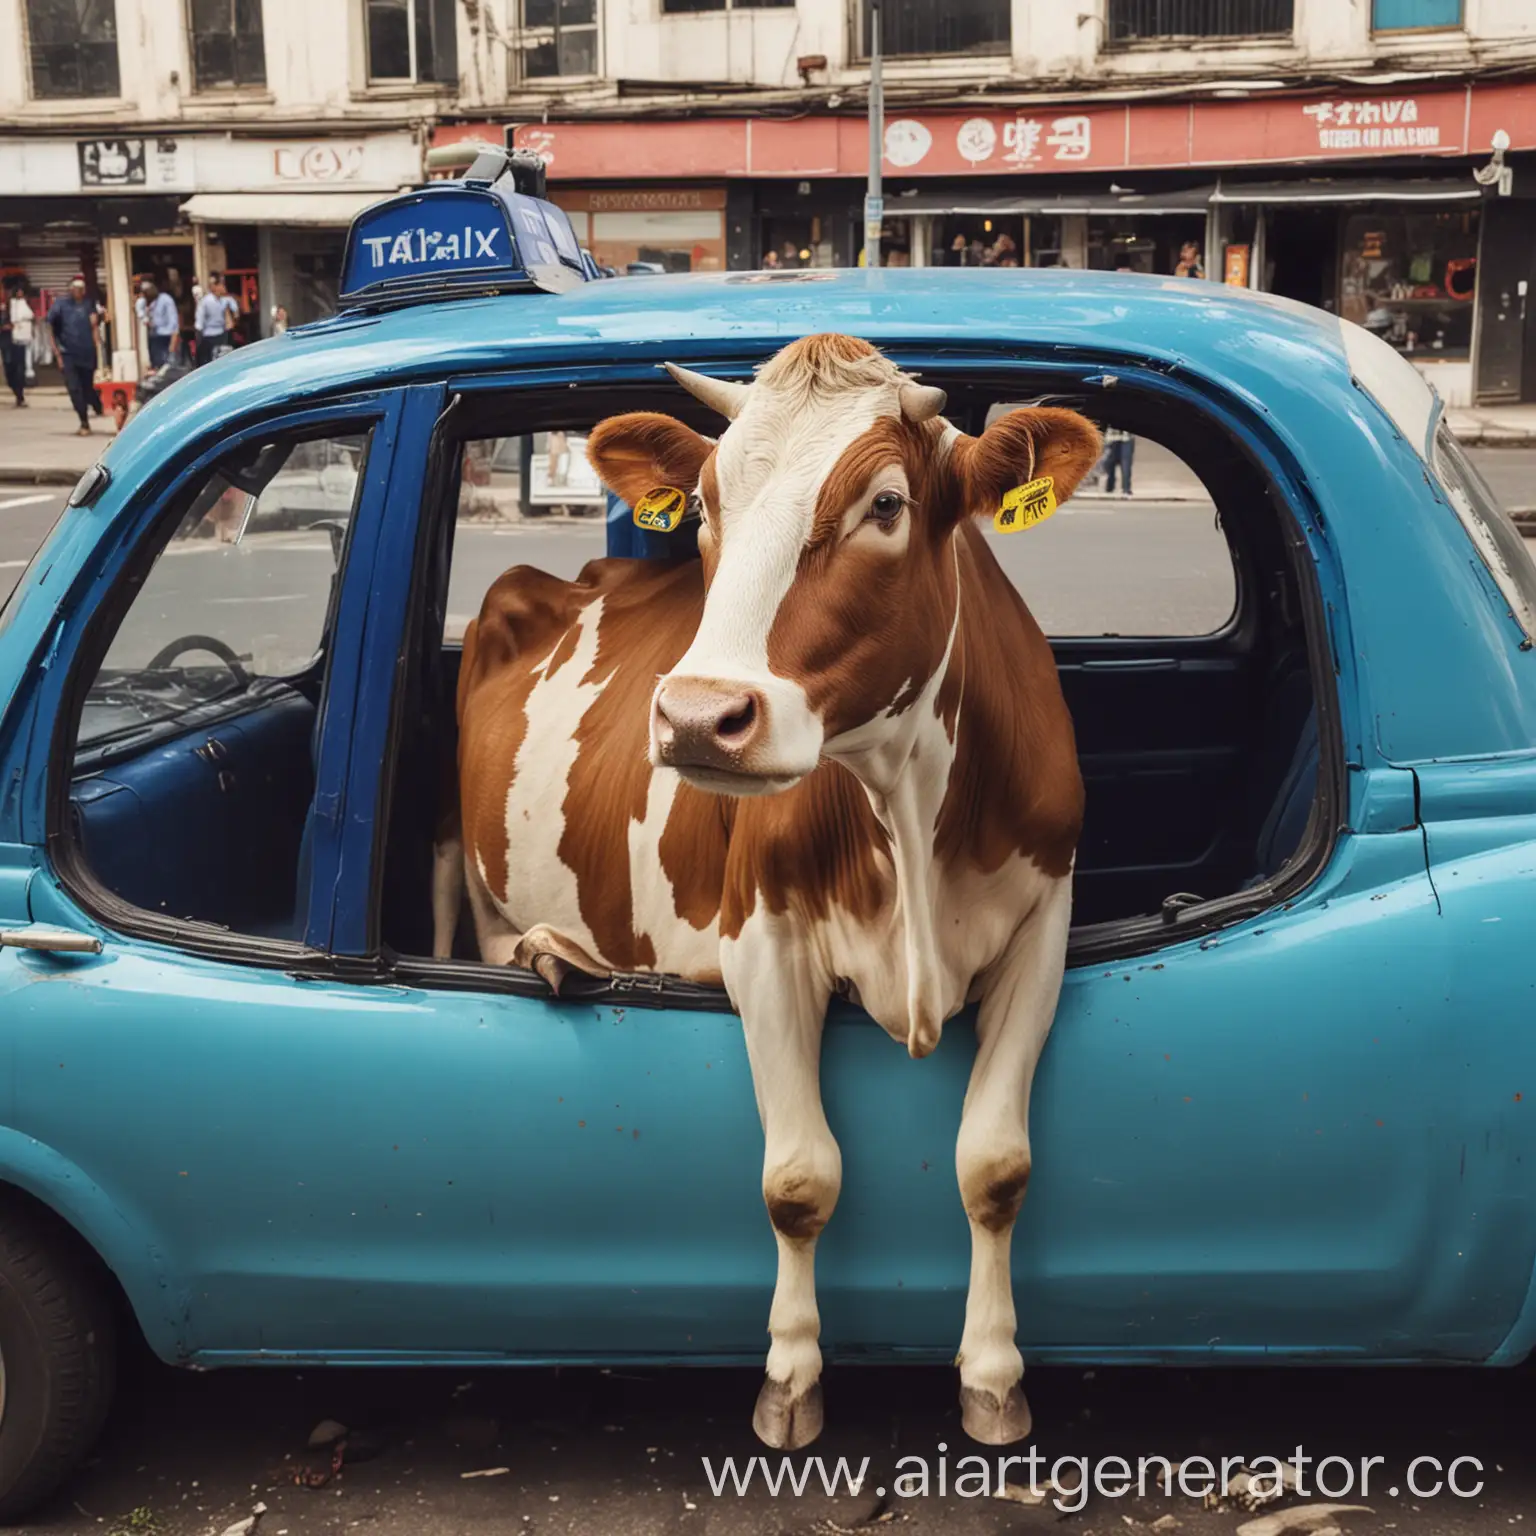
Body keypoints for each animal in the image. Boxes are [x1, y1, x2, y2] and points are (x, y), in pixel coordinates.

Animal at [439, 336, 1099, 1449]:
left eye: (886, 504)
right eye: (706, 505)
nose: (699, 717)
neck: (902, 800)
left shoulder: (1043, 931)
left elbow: (995, 1164)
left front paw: (993, 1372)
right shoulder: (765, 945)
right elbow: (799, 1177)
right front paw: (790, 1377)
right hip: (476, 869)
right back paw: (547, 951)